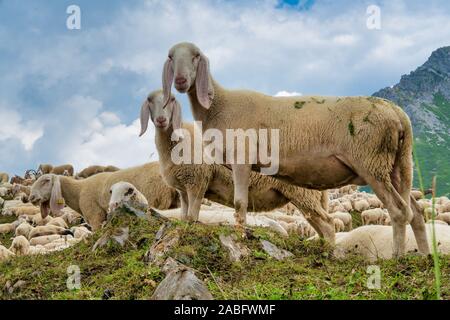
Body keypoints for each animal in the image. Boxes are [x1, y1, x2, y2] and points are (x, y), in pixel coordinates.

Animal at [140, 89, 334, 241]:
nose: (161, 120)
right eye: (149, 100)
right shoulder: (183, 189)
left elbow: (192, 215)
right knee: (321, 226)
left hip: (303, 194)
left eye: (172, 100)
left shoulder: (198, 181)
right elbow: (184, 216)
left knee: (328, 224)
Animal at [160, 43, 428, 258]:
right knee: (415, 211)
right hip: (397, 165)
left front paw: (239, 236)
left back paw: (397, 257)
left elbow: (239, 203)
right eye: (171, 56)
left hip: (372, 163)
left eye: (196, 56)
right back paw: (424, 256)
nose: (181, 81)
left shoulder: (241, 158)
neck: (221, 105)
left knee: (399, 210)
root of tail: (398, 113)